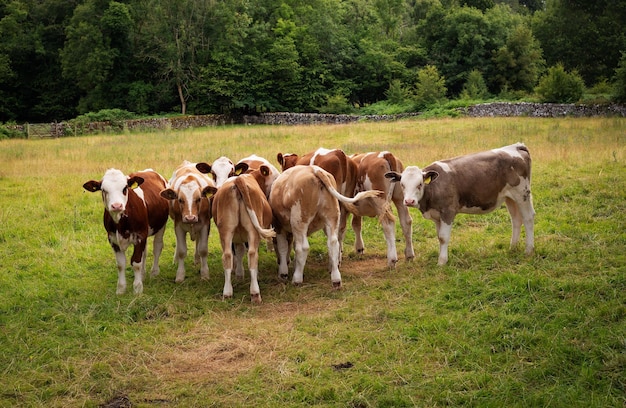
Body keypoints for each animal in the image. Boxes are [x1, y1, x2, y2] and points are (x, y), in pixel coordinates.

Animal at [202, 170, 276, 302]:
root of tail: (238, 180)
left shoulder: (236, 238)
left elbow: (239, 252)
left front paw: (239, 274)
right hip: (253, 231)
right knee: (252, 254)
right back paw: (255, 293)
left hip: (226, 230)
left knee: (227, 256)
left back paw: (227, 292)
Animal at [382, 143, 532, 264]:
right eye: (402, 185)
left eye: (419, 184)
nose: (409, 201)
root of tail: (516, 146)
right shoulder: (437, 215)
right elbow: (439, 237)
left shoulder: (448, 212)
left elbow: (443, 237)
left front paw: (442, 262)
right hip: (509, 197)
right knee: (516, 219)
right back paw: (513, 248)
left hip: (522, 193)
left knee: (528, 218)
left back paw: (529, 250)